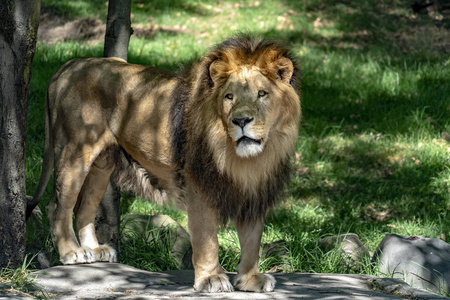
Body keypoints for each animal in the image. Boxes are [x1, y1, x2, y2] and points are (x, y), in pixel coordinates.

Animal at [29, 34, 300, 292]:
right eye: (229, 97)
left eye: (262, 94)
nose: (241, 120)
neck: (246, 160)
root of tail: (69, 65)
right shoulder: (197, 185)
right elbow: (207, 239)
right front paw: (211, 278)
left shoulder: (255, 192)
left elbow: (252, 241)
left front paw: (250, 280)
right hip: (75, 151)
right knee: (58, 206)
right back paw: (71, 252)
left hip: (101, 165)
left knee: (84, 208)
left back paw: (95, 251)